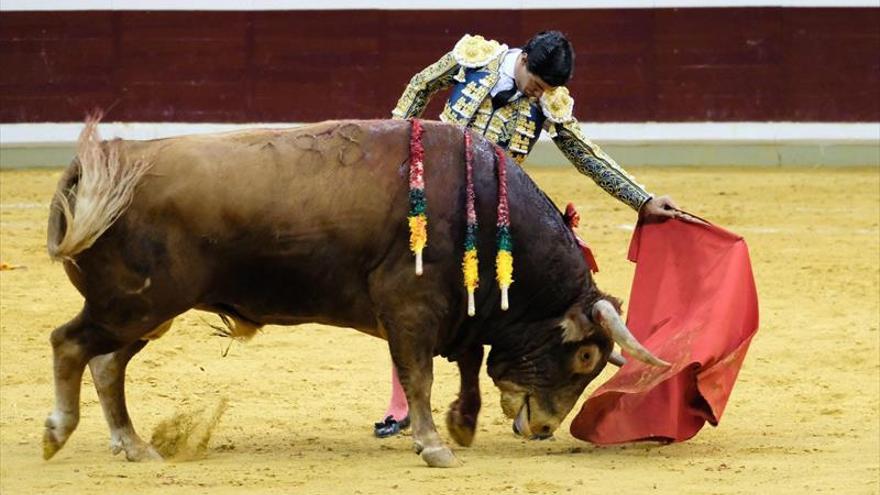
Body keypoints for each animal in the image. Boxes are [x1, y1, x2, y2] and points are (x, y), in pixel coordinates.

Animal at [43, 118, 668, 466]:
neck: (489, 214)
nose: (543, 429)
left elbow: (467, 363)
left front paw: (461, 424)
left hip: (146, 311)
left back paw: (134, 446)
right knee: (70, 344)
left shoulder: (456, 314)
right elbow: (420, 375)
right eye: (585, 356)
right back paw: (58, 433)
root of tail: (101, 164)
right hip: (135, 304)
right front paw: (434, 445)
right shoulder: (410, 307)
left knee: (106, 364)